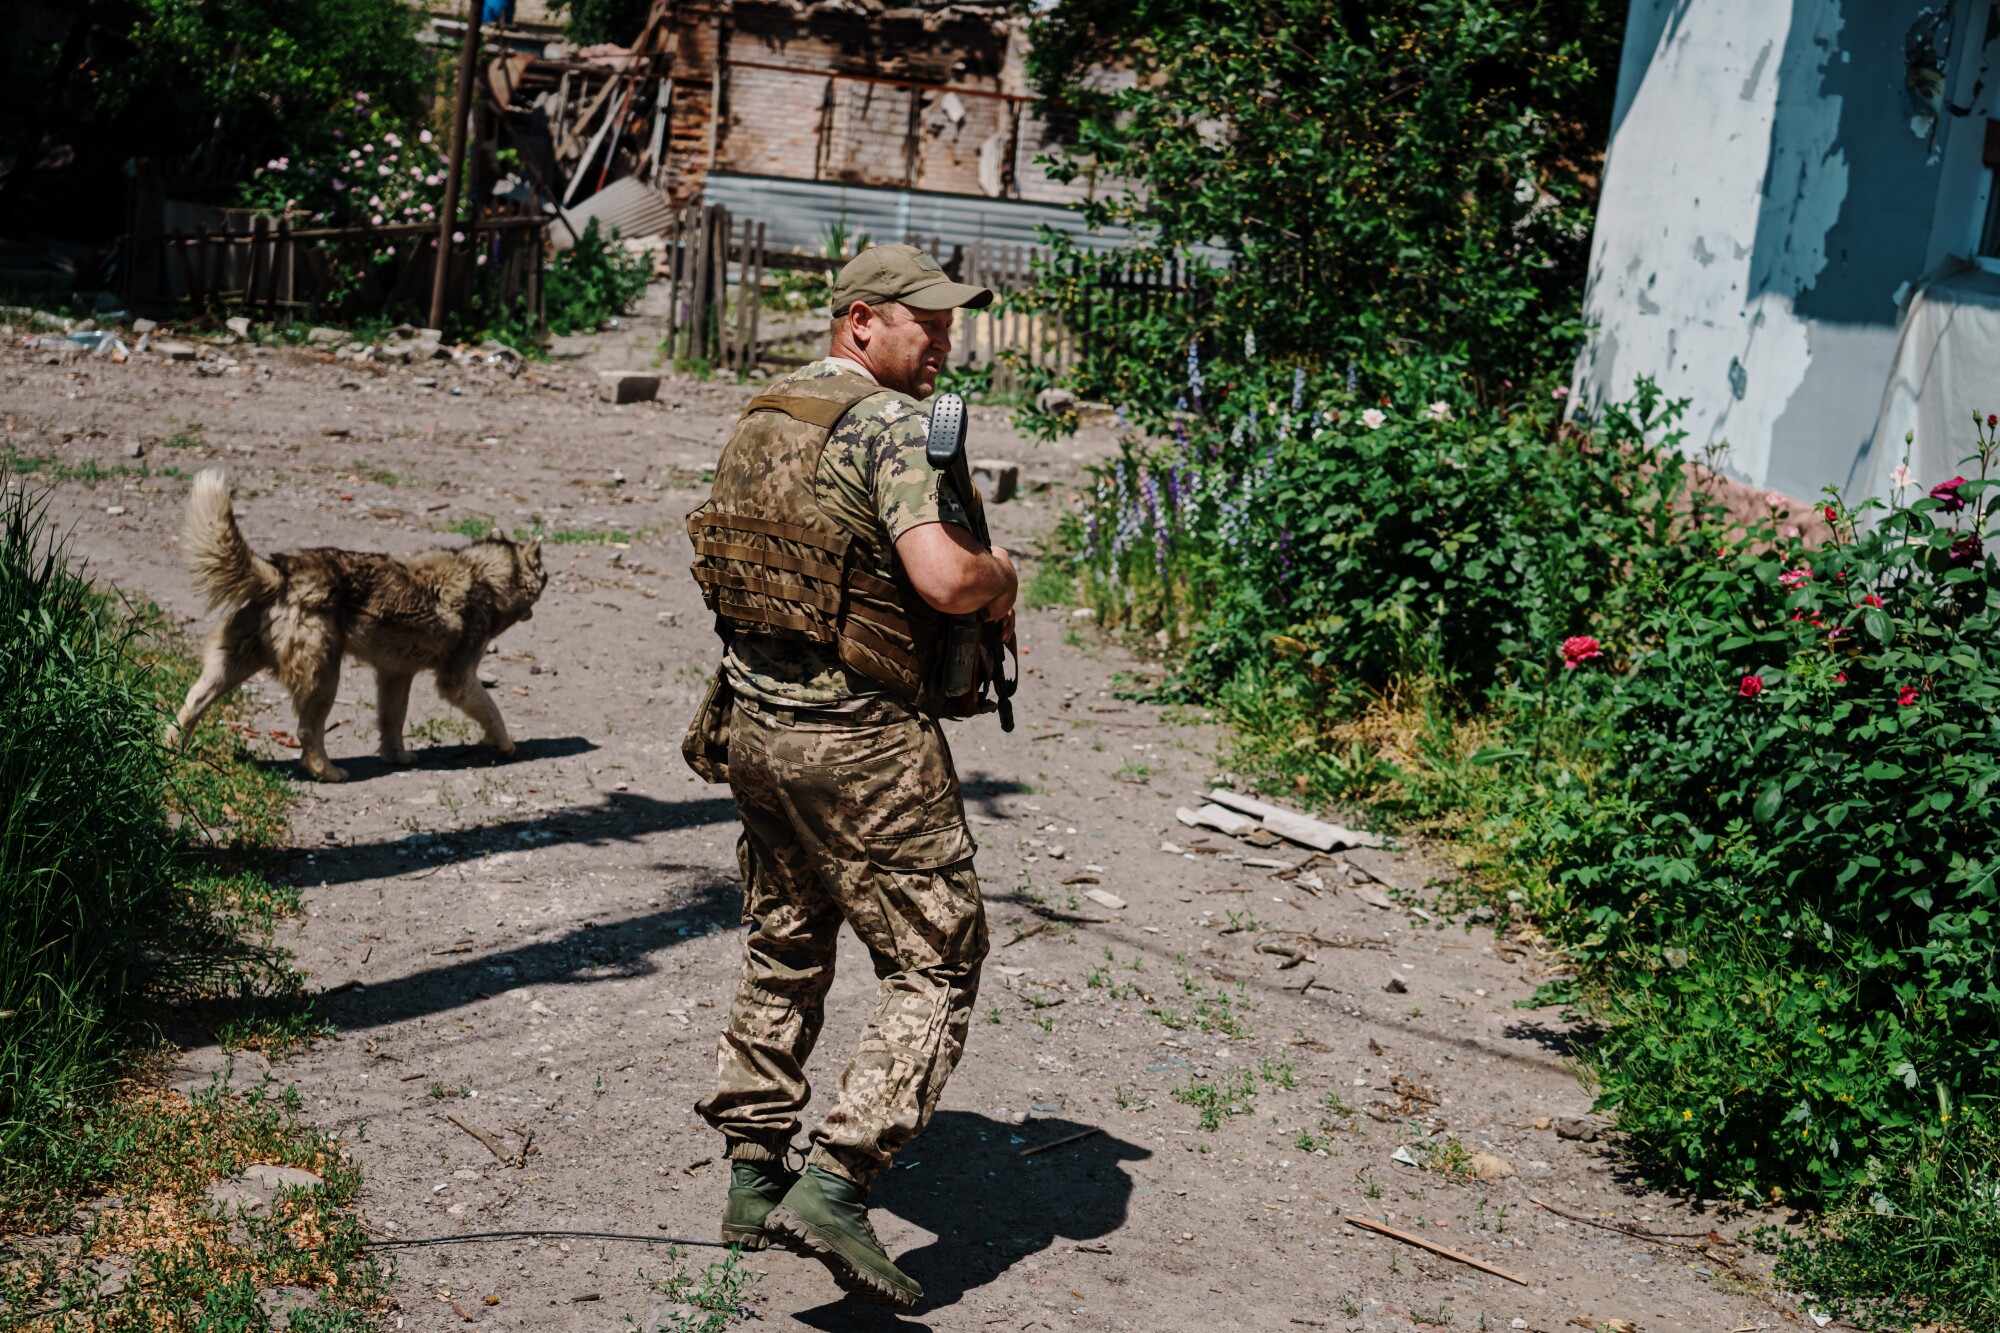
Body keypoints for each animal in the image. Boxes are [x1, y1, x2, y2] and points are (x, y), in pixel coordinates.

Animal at [169, 470, 548, 772]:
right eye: (545, 574)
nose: (548, 577)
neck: (484, 574)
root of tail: (283, 572)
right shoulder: (457, 679)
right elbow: (492, 711)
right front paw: (506, 744)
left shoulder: (395, 675)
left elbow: (393, 721)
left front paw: (397, 758)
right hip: (324, 678)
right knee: (307, 731)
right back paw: (327, 772)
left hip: (231, 667)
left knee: (188, 707)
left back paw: (171, 749)